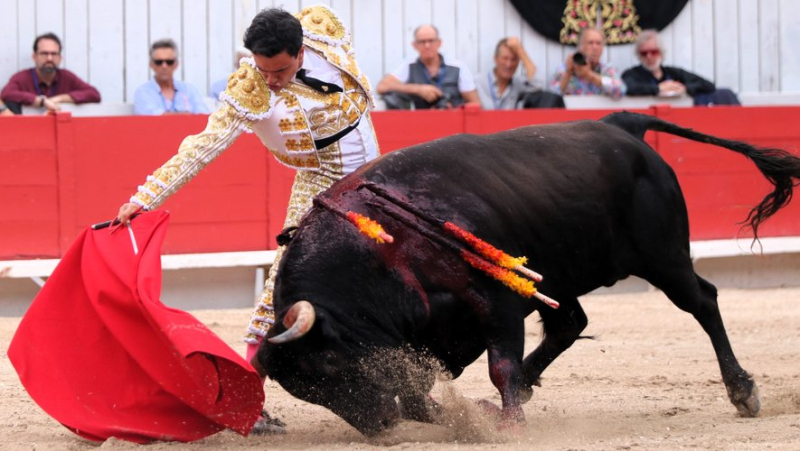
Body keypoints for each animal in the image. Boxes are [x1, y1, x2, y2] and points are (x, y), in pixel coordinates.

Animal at [253, 112, 800, 434]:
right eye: (306, 391)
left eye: (327, 365)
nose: (379, 428)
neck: (381, 248)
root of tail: (623, 124)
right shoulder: (425, 330)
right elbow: (420, 386)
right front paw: (457, 415)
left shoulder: (494, 299)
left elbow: (500, 364)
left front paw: (508, 423)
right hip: (557, 275)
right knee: (569, 323)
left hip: (664, 256)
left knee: (703, 301)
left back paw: (742, 391)